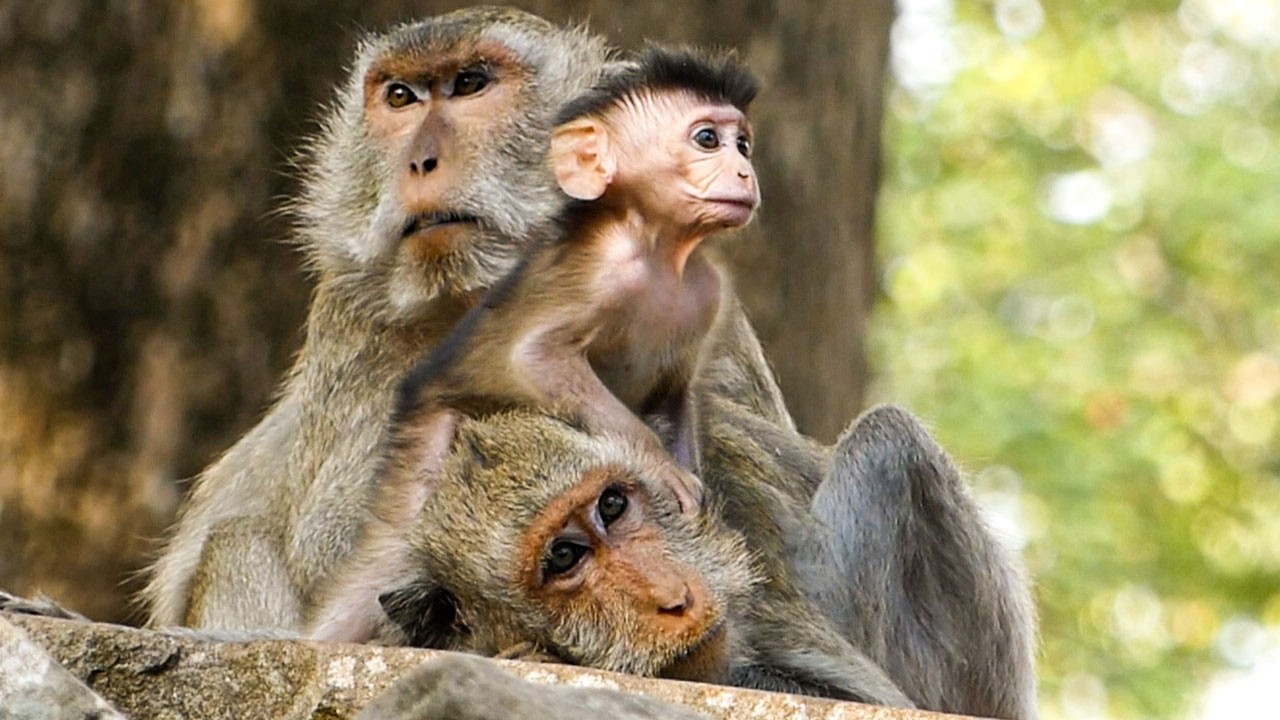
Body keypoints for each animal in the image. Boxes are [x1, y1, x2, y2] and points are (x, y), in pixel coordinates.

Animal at [398, 46, 763, 515]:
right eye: (707, 140)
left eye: (743, 146)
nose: (744, 172)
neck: (662, 251)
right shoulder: (607, 270)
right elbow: (538, 358)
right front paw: (661, 467)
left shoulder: (709, 291)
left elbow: (676, 392)